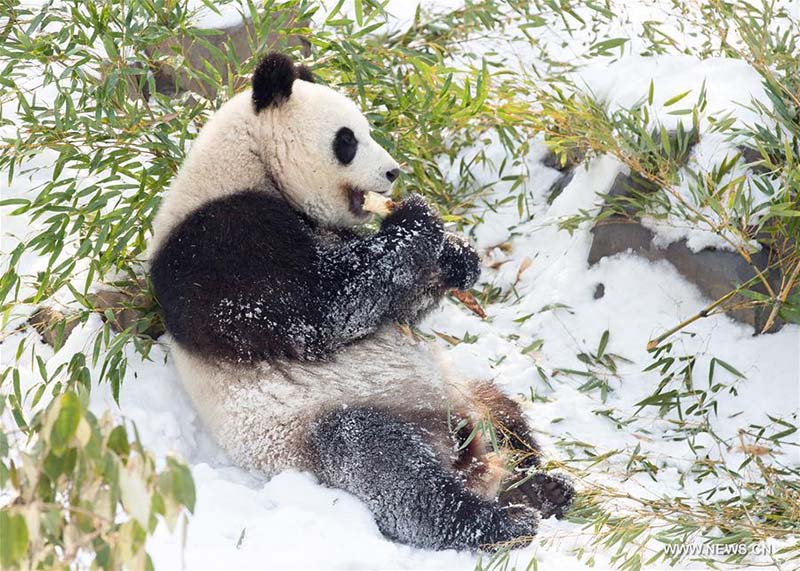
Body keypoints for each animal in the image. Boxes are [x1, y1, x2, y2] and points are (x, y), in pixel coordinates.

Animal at [148, 52, 576, 548]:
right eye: (347, 140)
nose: (393, 172)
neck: (248, 163)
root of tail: (466, 451)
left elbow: (390, 305)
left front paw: (457, 257)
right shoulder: (218, 244)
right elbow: (320, 309)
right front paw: (418, 218)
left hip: (461, 388)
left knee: (506, 415)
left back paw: (541, 486)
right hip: (329, 422)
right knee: (387, 466)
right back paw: (494, 523)